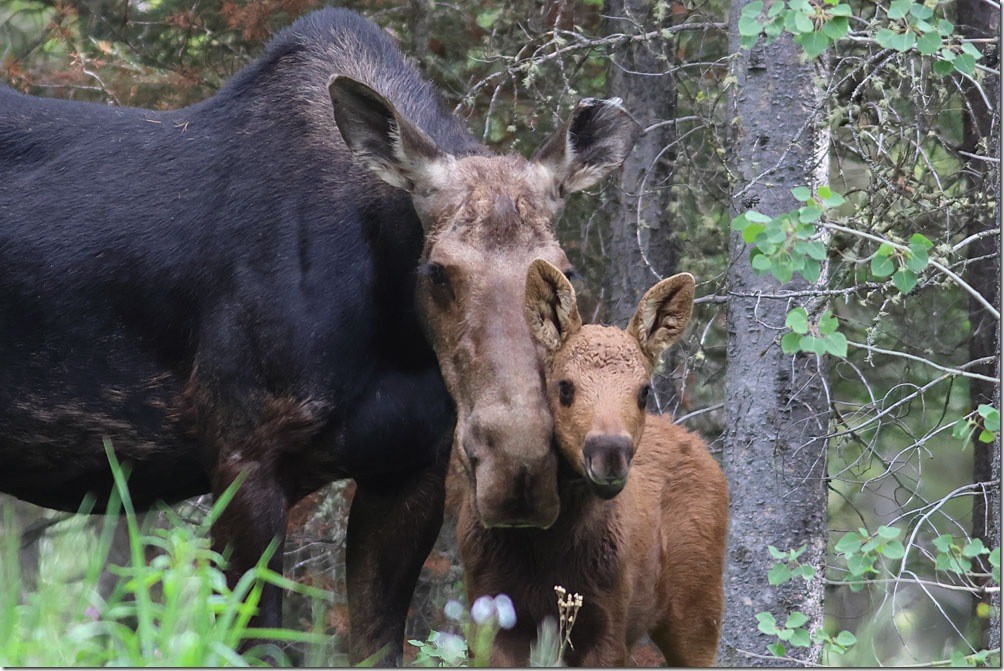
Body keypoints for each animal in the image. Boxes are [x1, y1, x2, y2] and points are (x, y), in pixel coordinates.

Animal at [0, 9, 638, 662]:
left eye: (564, 270)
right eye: (437, 271)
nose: (518, 462)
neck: (393, 338)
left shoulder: (410, 469)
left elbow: (379, 645)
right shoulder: (243, 455)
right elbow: (257, 643)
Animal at [453, 259, 728, 666]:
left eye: (644, 391)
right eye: (564, 386)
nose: (609, 453)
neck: (548, 547)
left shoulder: (609, 623)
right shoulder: (491, 615)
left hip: (699, 612)